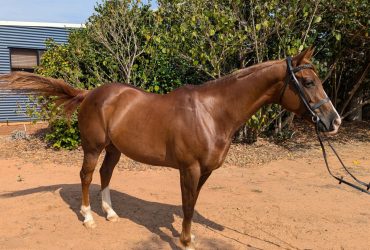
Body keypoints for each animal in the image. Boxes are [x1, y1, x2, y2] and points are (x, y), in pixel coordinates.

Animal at [0, 47, 342, 249]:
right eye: (308, 82)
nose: (334, 121)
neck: (212, 112)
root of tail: (91, 93)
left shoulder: (204, 172)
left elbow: (192, 203)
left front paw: (187, 235)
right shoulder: (189, 169)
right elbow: (188, 205)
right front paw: (186, 240)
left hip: (114, 149)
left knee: (106, 175)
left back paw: (110, 213)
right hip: (93, 146)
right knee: (86, 176)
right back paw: (88, 218)